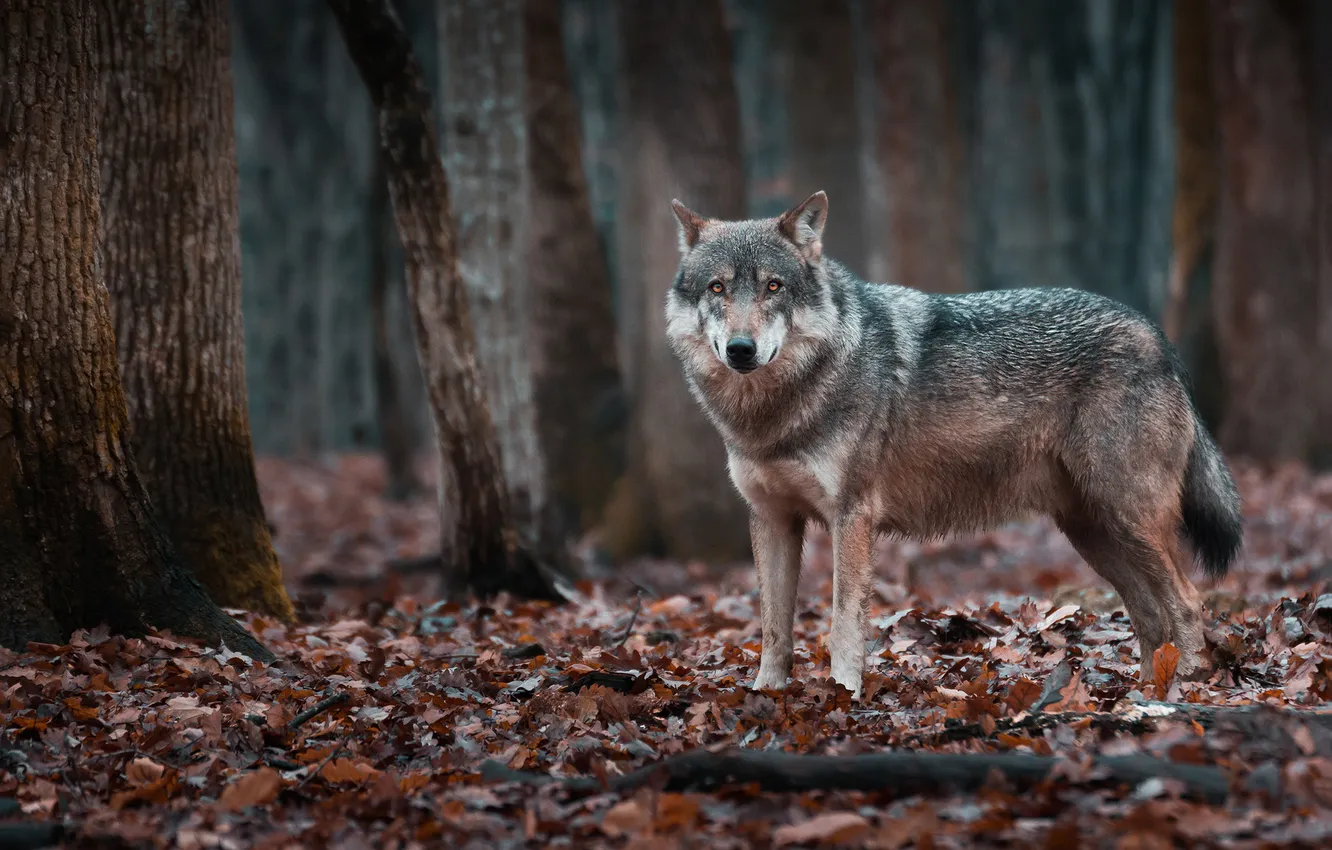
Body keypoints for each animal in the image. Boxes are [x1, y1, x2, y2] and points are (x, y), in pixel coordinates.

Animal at [664, 190, 1243, 699]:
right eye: (717, 288)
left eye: (774, 287)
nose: (741, 349)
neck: (773, 415)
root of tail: (1157, 336)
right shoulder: (770, 518)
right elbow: (773, 629)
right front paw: (765, 697)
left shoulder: (852, 517)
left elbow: (843, 624)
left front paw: (843, 696)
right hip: (1094, 531)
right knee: (1149, 614)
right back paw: (1142, 692)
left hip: (1130, 518)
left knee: (1188, 603)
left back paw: (1183, 688)